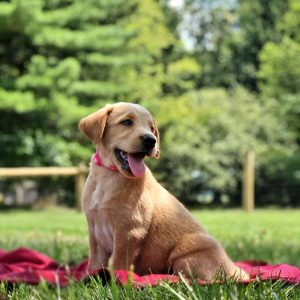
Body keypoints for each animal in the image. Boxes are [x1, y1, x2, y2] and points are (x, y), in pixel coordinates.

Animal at [78, 102, 247, 280]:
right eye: (127, 122)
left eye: (152, 128)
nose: (151, 140)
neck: (108, 175)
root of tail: (235, 270)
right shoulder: (94, 230)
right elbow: (94, 262)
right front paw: (92, 278)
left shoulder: (129, 231)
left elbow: (119, 262)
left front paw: (117, 280)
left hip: (188, 249)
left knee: (204, 278)